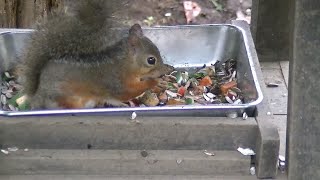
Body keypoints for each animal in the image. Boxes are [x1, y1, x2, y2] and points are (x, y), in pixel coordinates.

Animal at [18, 0, 174, 109]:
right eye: (151, 60)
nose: (165, 69)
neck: (124, 65)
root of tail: (37, 97)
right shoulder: (115, 82)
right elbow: (128, 91)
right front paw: (155, 82)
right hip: (67, 99)